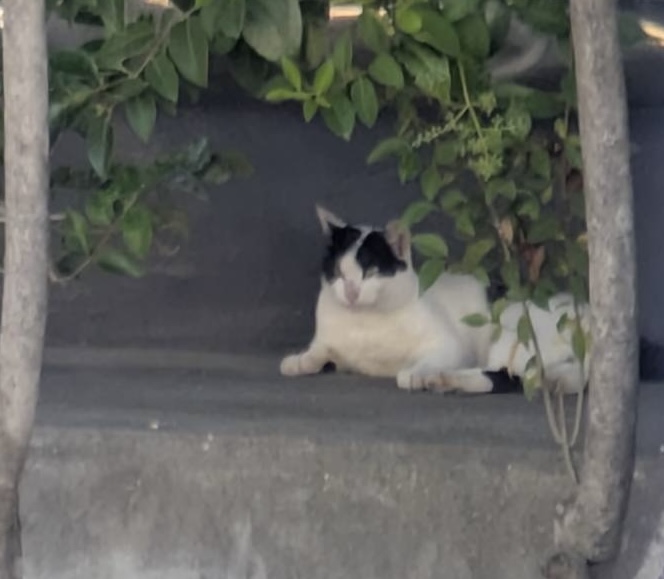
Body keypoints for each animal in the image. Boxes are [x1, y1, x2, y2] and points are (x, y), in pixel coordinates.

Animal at [280, 205, 663, 394]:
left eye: (371, 272)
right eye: (338, 272)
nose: (351, 292)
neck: (364, 324)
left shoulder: (449, 344)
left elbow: (424, 361)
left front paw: (415, 373)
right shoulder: (331, 343)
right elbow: (321, 351)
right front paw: (299, 360)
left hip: (512, 335)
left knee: (512, 376)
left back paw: (440, 379)